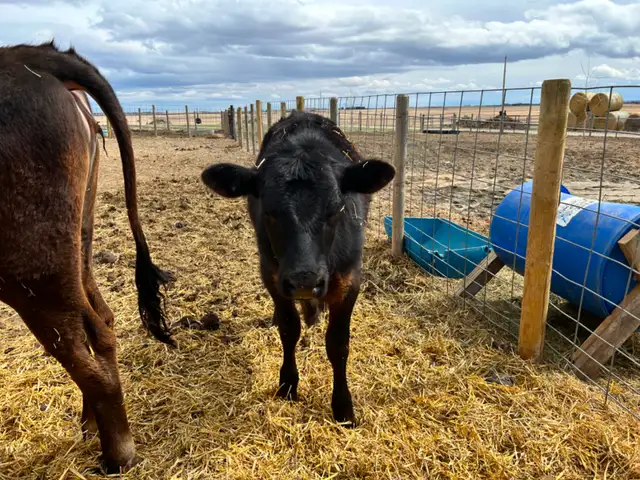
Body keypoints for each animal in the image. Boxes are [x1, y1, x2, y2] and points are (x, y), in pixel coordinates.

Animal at [0, 41, 175, 473]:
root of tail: (29, 57)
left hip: (34, 274)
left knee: (80, 342)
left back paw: (117, 455)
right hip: (78, 241)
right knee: (102, 321)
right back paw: (91, 426)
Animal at [201, 110, 395, 426]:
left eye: (337, 209)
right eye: (268, 211)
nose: (305, 281)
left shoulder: (350, 279)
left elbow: (338, 344)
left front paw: (343, 407)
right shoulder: (272, 275)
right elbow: (289, 328)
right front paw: (288, 384)